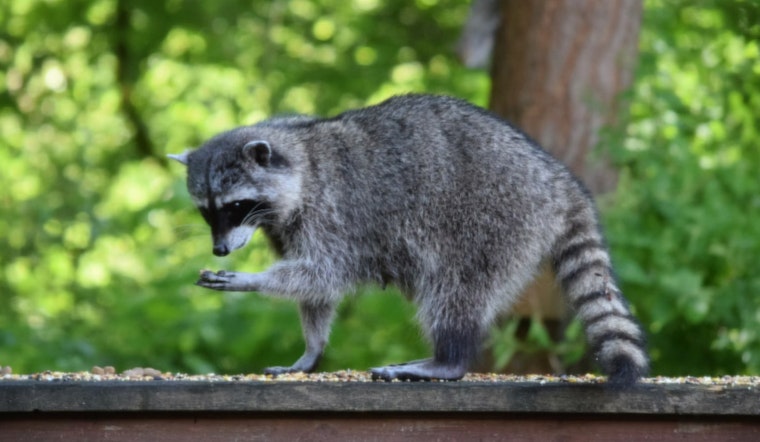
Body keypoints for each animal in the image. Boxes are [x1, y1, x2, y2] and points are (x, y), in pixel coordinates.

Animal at [168, 94, 648, 384]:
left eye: (234, 206)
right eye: (206, 210)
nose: (219, 249)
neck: (298, 156)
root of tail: (557, 179)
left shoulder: (333, 212)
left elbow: (325, 273)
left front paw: (253, 280)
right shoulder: (287, 226)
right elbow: (317, 291)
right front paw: (312, 349)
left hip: (493, 221)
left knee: (455, 290)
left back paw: (447, 359)